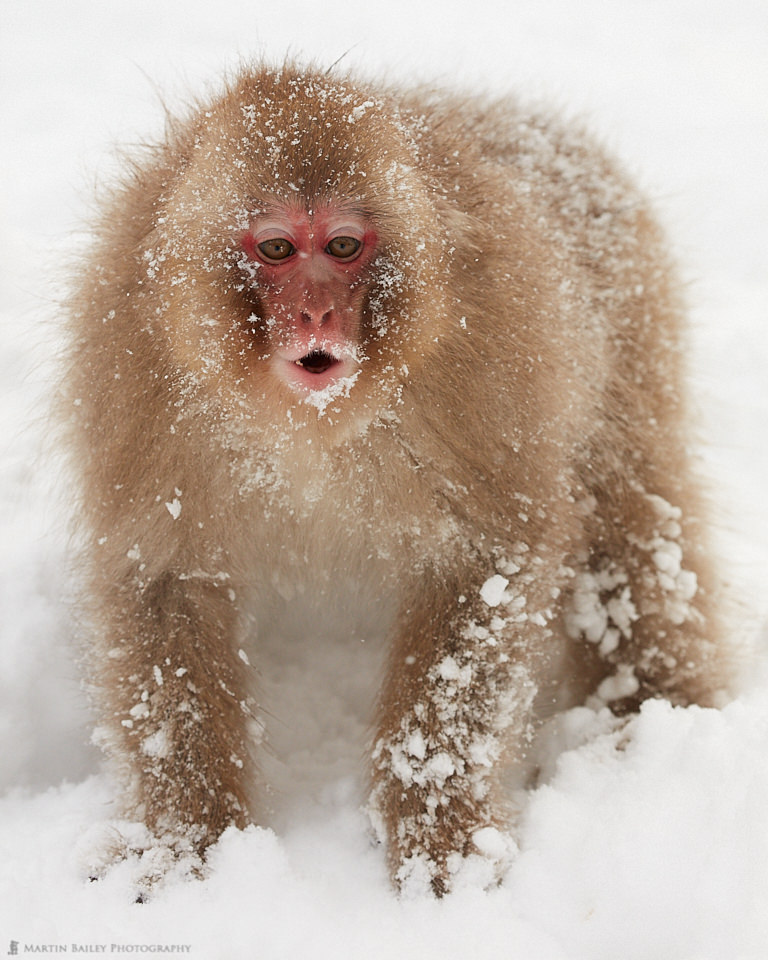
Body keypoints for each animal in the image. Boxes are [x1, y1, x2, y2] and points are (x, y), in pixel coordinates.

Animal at [64, 63, 732, 896]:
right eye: (277, 247)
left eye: (344, 245)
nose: (316, 314)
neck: (311, 423)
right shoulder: (138, 373)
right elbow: (163, 579)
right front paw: (182, 842)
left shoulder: (492, 366)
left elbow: (486, 566)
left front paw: (441, 842)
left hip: (630, 325)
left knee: (626, 518)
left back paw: (645, 713)